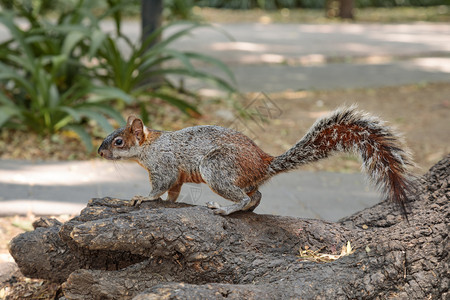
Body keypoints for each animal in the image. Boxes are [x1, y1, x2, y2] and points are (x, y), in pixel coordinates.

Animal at [98, 106, 414, 218]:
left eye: (118, 142)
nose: (100, 153)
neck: (148, 146)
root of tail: (264, 163)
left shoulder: (163, 165)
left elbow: (159, 186)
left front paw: (143, 197)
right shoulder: (175, 176)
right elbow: (173, 191)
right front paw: (169, 202)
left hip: (217, 169)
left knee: (241, 196)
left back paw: (226, 209)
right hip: (238, 176)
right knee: (256, 194)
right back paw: (250, 207)